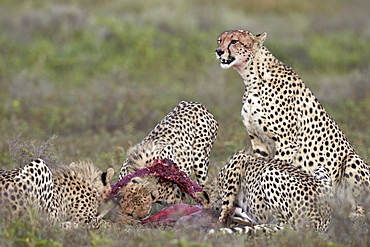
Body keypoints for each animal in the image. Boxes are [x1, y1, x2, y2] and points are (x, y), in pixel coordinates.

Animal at [198, 150, 334, 234]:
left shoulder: (239, 160)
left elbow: (226, 205)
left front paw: (220, 222)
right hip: (321, 169)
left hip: (268, 173)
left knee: (285, 226)